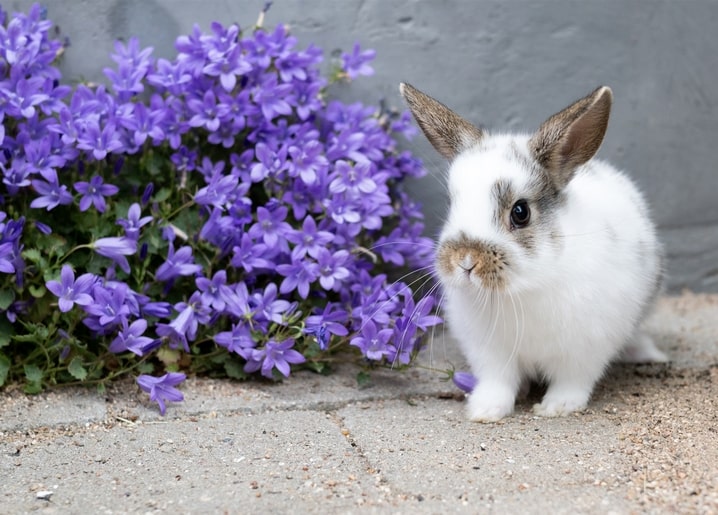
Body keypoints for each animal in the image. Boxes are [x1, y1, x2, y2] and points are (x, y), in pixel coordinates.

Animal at [399, 82, 668, 422]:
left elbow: (572, 381)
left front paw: (557, 408)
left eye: (520, 212)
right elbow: (498, 382)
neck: (524, 288)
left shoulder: (585, 349)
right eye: (452, 203)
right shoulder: (490, 353)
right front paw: (485, 411)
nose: (464, 261)